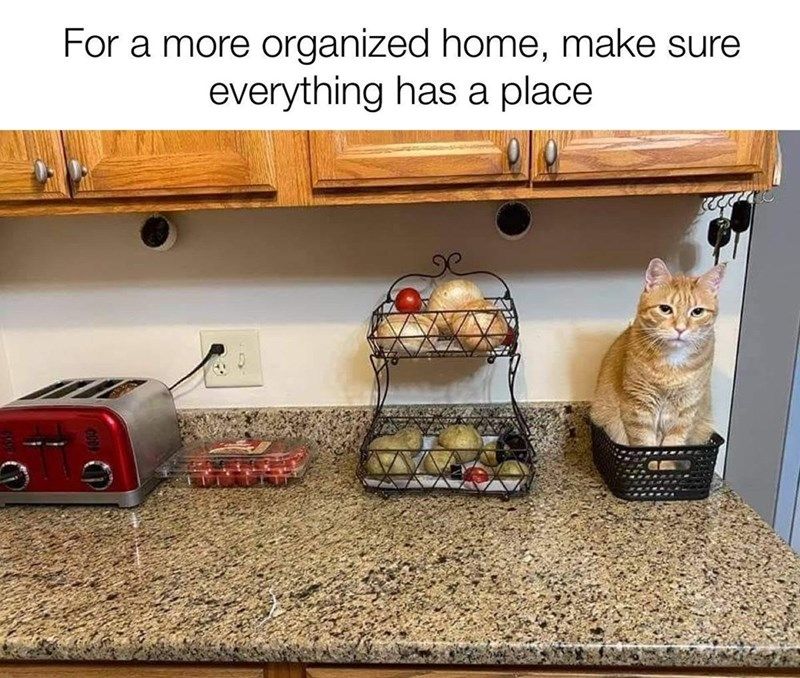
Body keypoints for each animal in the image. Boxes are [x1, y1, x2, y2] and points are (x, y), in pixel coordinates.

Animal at [588, 258, 724, 446]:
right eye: (665, 309)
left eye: (697, 312)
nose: (680, 329)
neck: (672, 365)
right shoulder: (639, 406)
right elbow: (644, 444)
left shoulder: (685, 411)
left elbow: (672, 446)